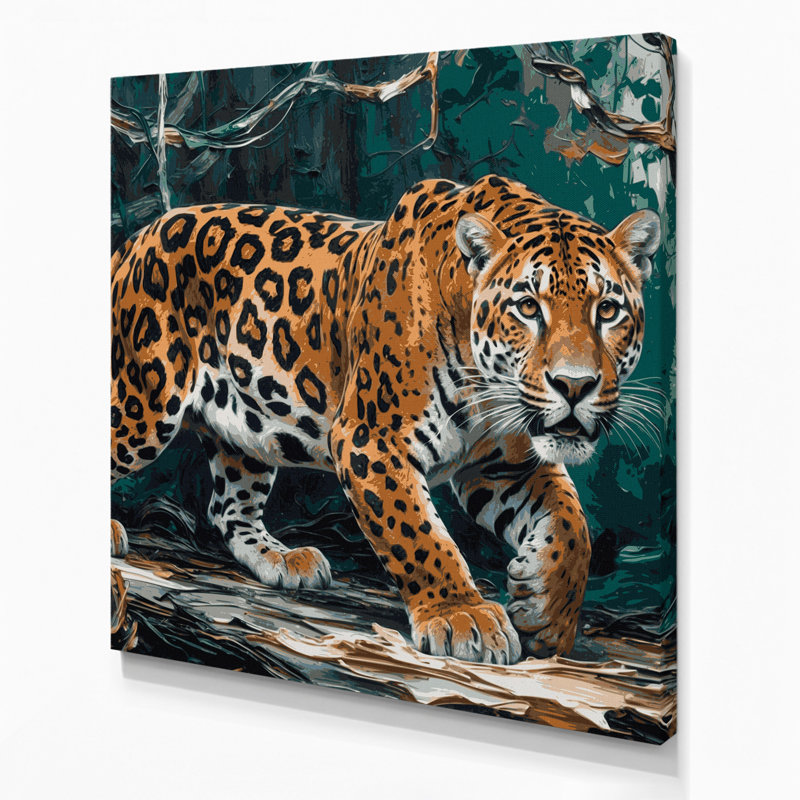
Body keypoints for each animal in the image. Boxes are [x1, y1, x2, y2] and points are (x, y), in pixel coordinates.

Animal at [110, 173, 659, 664]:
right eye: (527, 307)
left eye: (607, 310)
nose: (575, 385)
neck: (485, 385)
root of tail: (138, 238)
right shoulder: (371, 439)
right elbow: (418, 534)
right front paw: (461, 616)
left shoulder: (504, 464)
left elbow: (571, 523)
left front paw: (546, 614)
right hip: (142, 403)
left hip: (246, 432)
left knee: (228, 508)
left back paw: (284, 559)